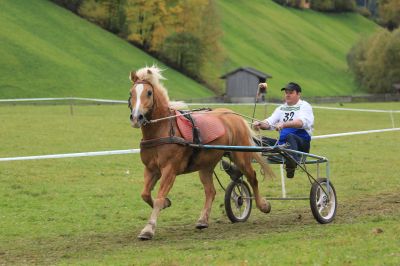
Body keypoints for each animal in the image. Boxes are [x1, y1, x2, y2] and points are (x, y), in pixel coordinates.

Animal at [130, 65, 274, 240]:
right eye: (131, 93)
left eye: (149, 93)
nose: (136, 117)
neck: (162, 129)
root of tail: (233, 115)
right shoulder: (151, 170)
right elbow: (145, 194)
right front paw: (166, 203)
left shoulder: (169, 170)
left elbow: (158, 198)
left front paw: (149, 229)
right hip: (206, 165)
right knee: (211, 191)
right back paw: (203, 220)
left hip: (241, 156)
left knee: (252, 178)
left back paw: (262, 204)